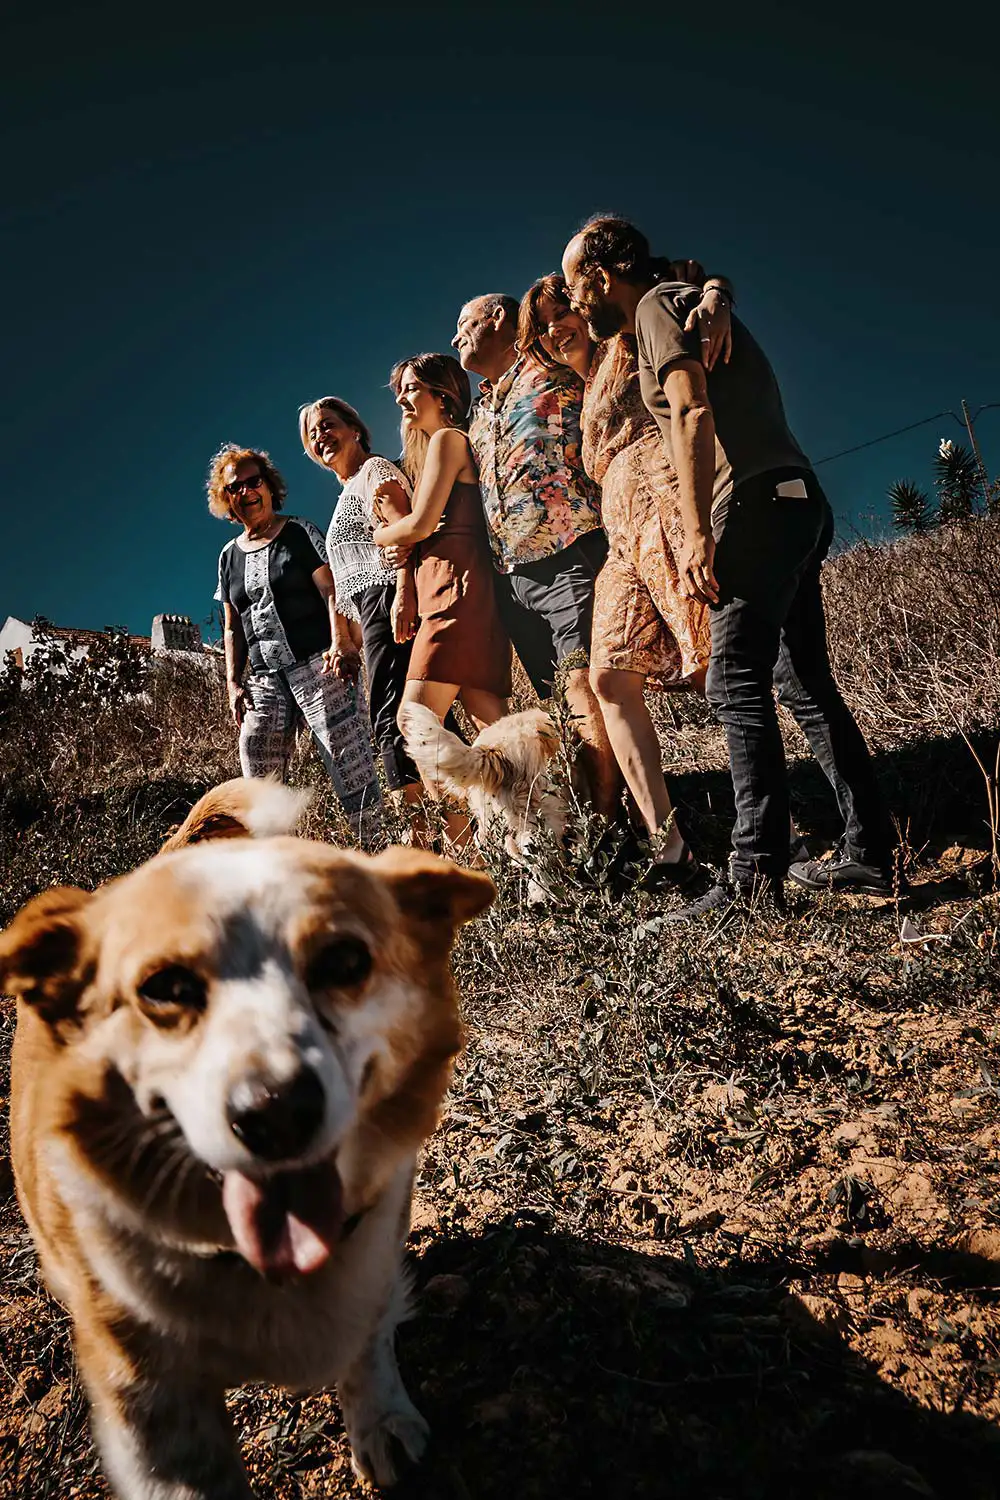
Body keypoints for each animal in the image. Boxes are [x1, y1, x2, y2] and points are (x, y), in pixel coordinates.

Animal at [0, 780, 491, 1494]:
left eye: (345, 960)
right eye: (163, 988)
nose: (277, 1111)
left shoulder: (376, 1267)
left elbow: (370, 1348)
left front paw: (382, 1423)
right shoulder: (148, 1399)